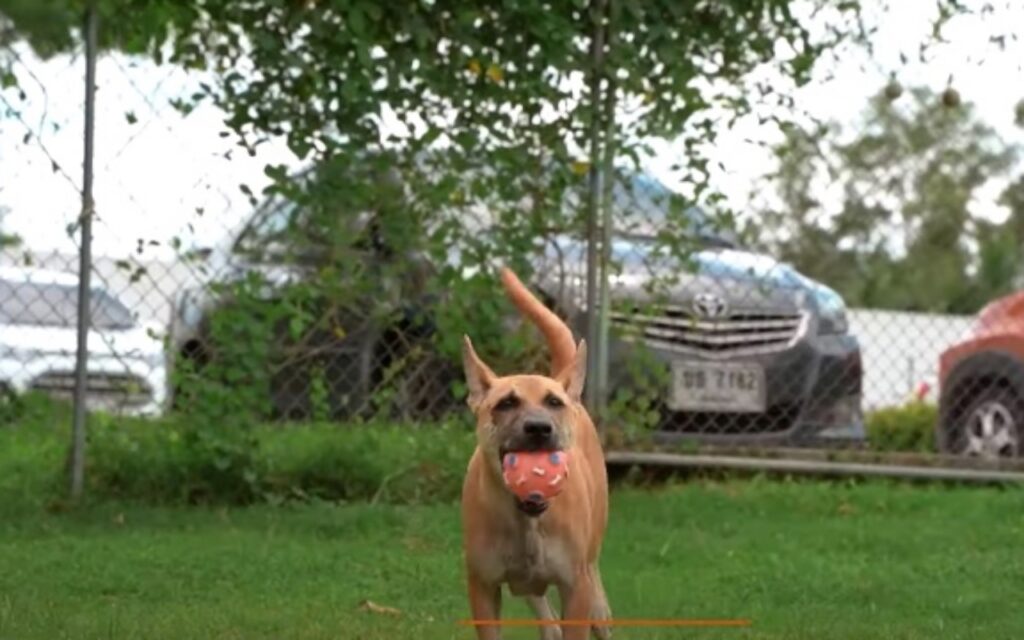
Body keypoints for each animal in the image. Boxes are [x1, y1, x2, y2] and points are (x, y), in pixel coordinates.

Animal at [460, 266, 610, 638]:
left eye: (553, 402)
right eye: (505, 403)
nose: (539, 428)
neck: (527, 520)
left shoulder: (576, 587)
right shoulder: (483, 586)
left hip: (593, 579)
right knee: (547, 621)